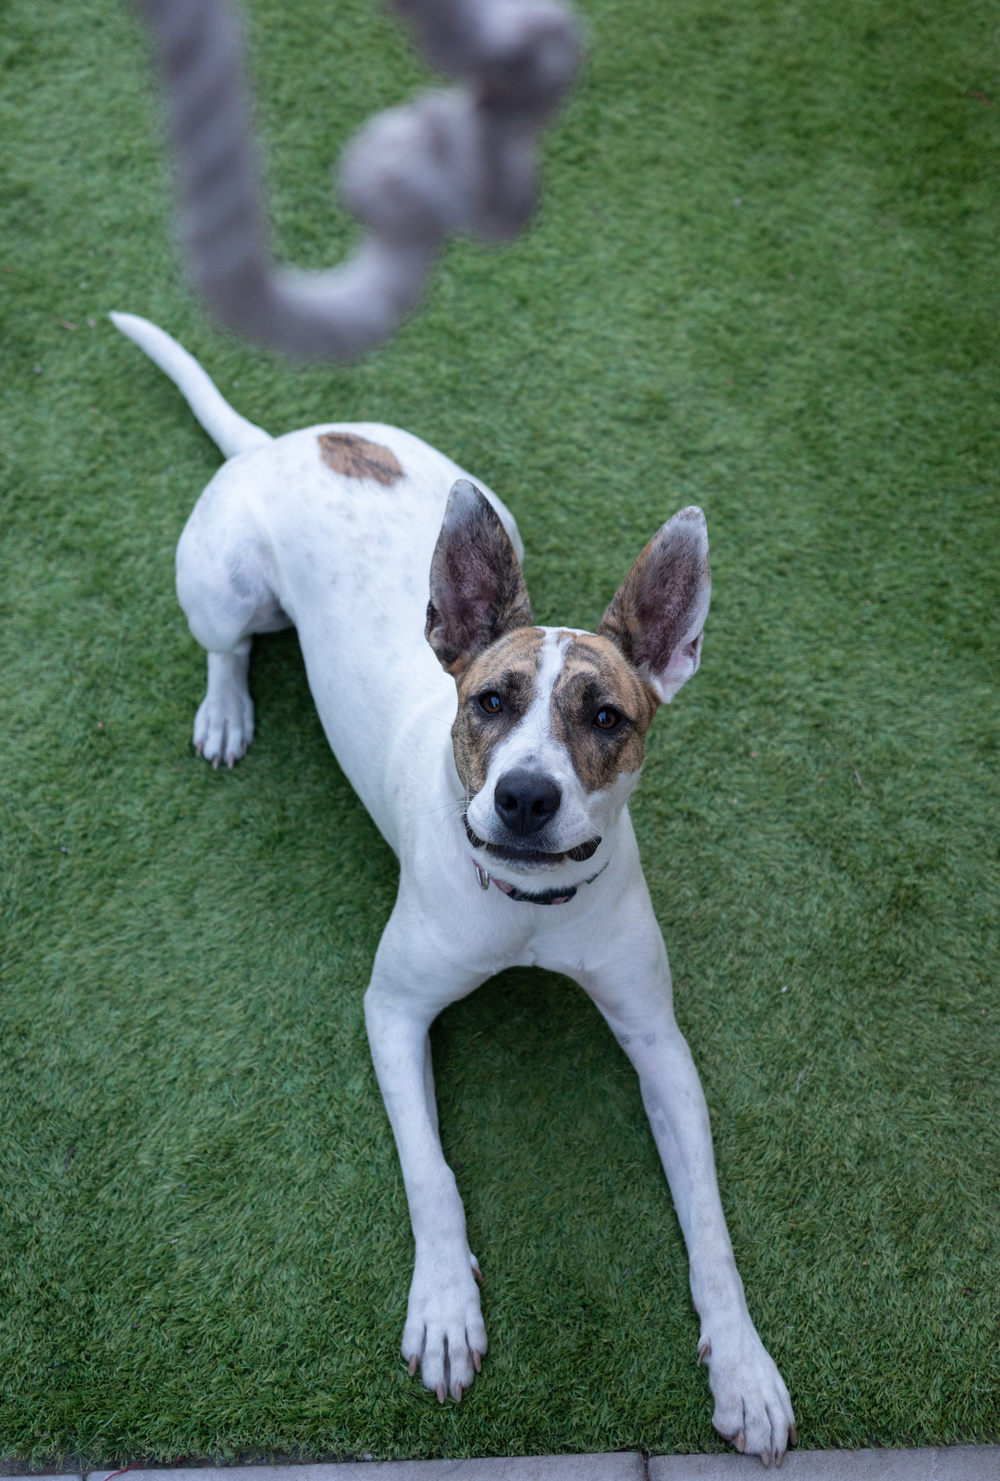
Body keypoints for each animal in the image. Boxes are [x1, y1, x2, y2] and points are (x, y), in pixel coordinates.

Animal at [111, 312, 800, 1469]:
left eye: (606, 717)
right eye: (490, 700)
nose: (524, 796)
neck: (523, 904)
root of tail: (278, 442)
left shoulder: (659, 1041)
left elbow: (709, 1224)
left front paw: (743, 1364)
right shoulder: (392, 1009)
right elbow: (430, 1172)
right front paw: (442, 1308)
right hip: (222, 586)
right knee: (225, 647)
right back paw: (226, 709)